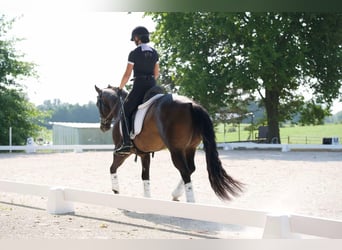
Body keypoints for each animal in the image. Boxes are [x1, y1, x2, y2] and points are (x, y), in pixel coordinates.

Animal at [93, 85, 243, 202]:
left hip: (175, 150)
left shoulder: (122, 152)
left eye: (98, 104)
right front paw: (147, 198)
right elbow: (145, 176)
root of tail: (192, 104)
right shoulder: (144, 154)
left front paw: (115, 189)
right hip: (190, 148)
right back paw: (176, 194)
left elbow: (112, 168)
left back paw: (190, 201)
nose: (103, 126)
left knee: (185, 171)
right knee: (190, 169)